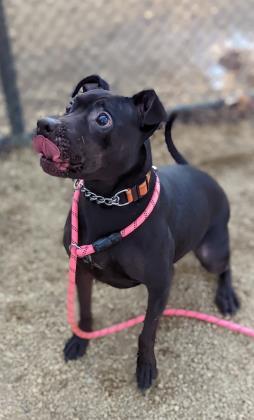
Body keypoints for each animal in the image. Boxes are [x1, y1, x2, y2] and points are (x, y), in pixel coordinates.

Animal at [34, 75, 240, 390]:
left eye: (103, 119)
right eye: (69, 106)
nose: (44, 124)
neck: (109, 201)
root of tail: (197, 170)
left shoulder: (159, 285)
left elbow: (147, 331)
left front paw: (145, 367)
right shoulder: (81, 271)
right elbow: (84, 311)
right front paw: (80, 340)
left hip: (211, 252)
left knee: (225, 266)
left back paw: (227, 296)